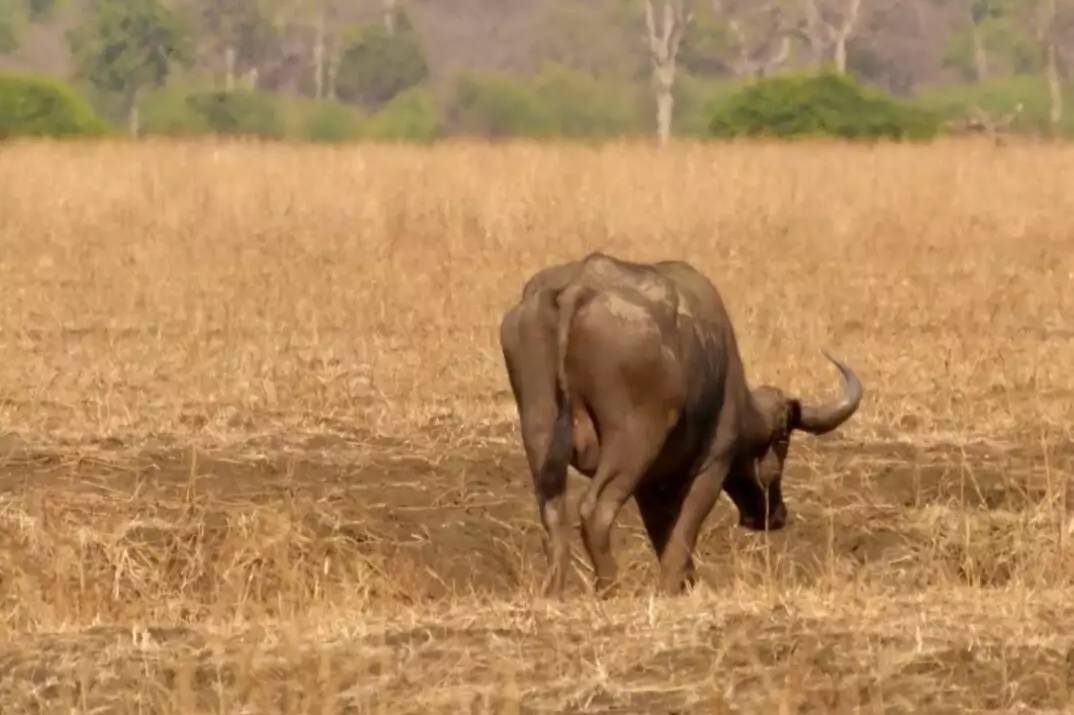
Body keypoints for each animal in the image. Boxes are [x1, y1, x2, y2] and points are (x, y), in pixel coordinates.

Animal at [496, 252, 863, 596]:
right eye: (783, 440)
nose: (775, 516)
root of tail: (579, 289)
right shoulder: (712, 465)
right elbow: (684, 530)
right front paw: (673, 586)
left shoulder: (650, 483)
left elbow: (663, 532)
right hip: (632, 441)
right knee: (595, 509)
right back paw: (610, 586)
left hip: (539, 430)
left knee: (554, 513)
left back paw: (554, 590)